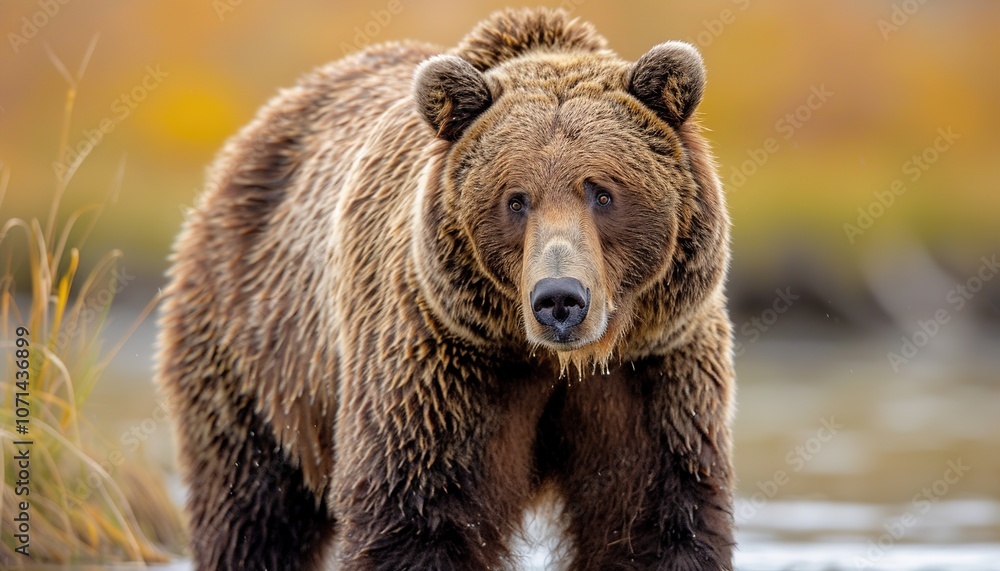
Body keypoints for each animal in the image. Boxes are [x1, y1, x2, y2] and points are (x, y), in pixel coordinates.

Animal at [156, 7, 735, 571]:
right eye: (515, 199)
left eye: (603, 192)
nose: (559, 301)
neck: (551, 360)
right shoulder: (441, 363)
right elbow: (413, 512)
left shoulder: (653, 370)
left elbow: (656, 518)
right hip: (253, 352)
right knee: (251, 507)